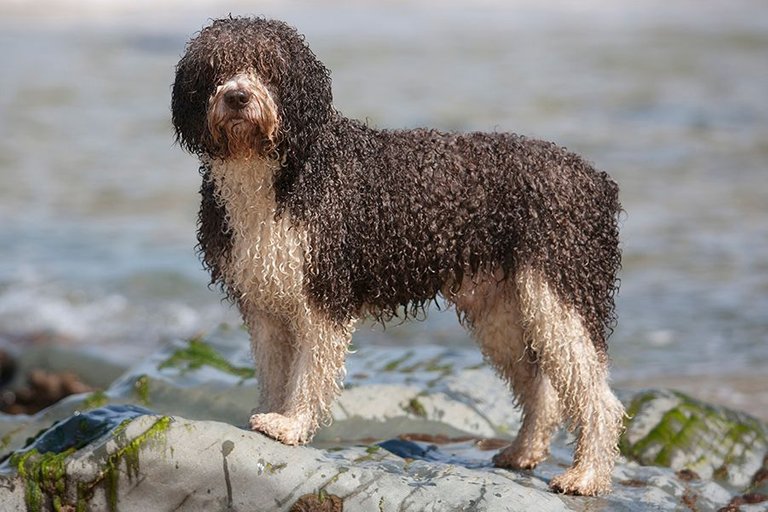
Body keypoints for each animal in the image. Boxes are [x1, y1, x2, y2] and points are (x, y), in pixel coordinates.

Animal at [172, 16, 624, 496]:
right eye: (217, 68)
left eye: (268, 66)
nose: (237, 97)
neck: (278, 173)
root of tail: (595, 181)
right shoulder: (264, 299)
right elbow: (275, 371)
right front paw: (271, 417)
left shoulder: (324, 292)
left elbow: (310, 371)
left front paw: (291, 425)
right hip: (502, 311)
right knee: (542, 389)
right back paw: (523, 452)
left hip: (560, 294)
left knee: (599, 399)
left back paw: (586, 475)